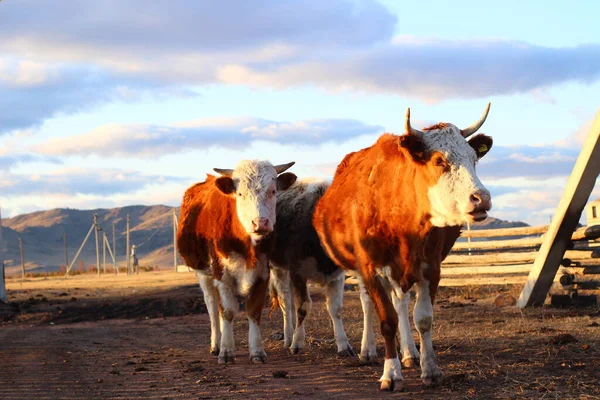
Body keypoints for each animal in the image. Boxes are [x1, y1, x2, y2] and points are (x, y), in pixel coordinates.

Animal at [176, 159, 298, 362]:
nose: (260, 223)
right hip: (203, 273)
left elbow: (254, 310)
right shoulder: (220, 273)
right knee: (212, 306)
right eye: (240, 193)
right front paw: (226, 350)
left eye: (273, 191)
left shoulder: (263, 271)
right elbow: (227, 311)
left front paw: (257, 351)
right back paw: (215, 344)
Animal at [314, 103, 492, 390]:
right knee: (368, 304)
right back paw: (368, 351)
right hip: (361, 269)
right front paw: (391, 373)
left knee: (400, 301)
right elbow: (387, 320)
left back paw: (409, 353)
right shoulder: (371, 268)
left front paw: (430, 369)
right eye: (439, 161)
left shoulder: (430, 266)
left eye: (473, 159)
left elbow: (423, 319)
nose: (481, 198)